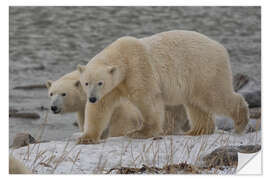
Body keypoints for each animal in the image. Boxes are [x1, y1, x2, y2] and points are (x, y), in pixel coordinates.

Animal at [76, 30, 249, 144]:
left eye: (100, 82)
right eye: (86, 83)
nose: (92, 98)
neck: (123, 57)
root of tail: (221, 47)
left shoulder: (138, 68)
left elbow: (148, 99)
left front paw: (139, 132)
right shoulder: (114, 86)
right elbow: (99, 108)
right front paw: (86, 137)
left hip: (204, 69)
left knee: (215, 96)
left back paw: (240, 123)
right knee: (196, 104)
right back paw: (196, 131)